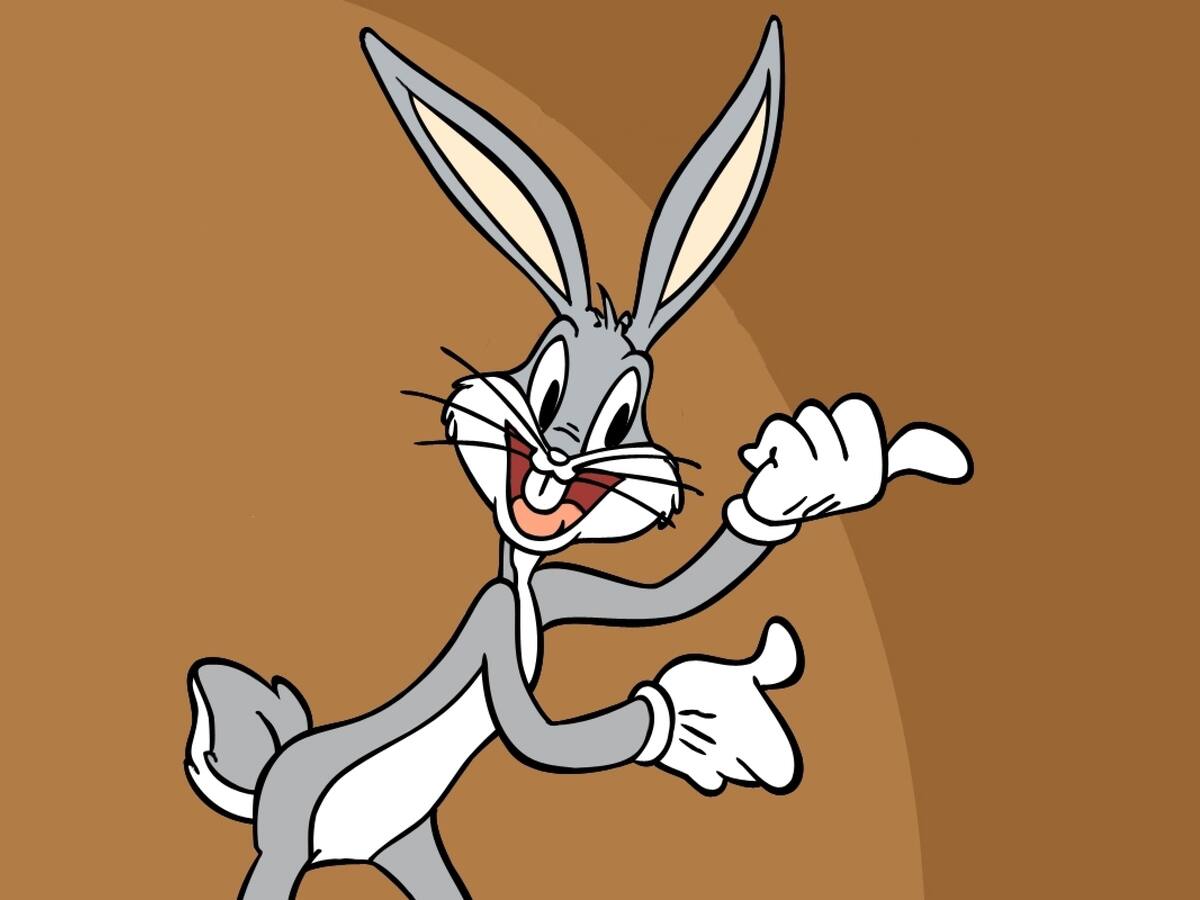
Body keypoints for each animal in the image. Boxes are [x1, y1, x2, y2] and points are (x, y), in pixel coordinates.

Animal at [183, 18, 972, 900]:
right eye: (548, 379)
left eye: (624, 413)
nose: (561, 452)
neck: (526, 579)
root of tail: (275, 776)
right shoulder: (495, 617)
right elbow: (543, 738)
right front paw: (692, 721)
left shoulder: (562, 591)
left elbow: (667, 598)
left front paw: (802, 484)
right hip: (288, 845)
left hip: (410, 844)